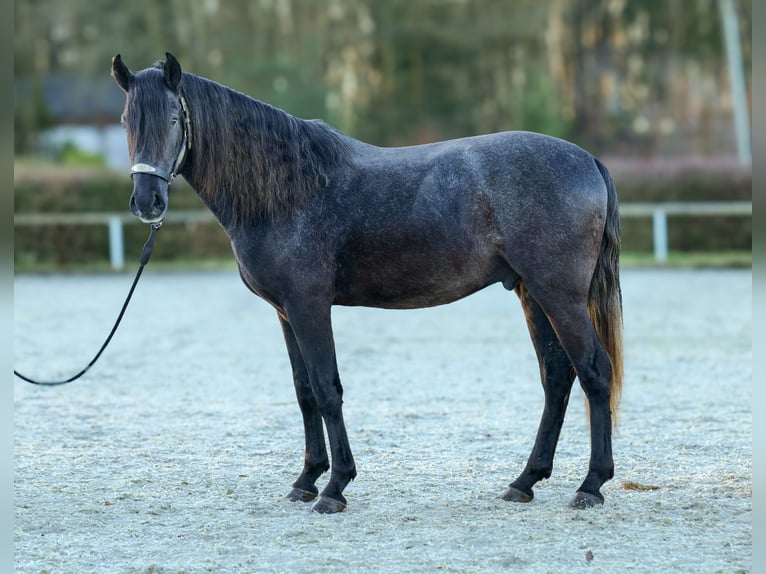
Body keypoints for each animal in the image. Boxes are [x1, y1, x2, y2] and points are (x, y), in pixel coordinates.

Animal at [112, 51, 624, 516]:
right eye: (125, 120)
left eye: (174, 117)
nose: (146, 201)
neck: (287, 189)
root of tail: (588, 160)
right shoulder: (284, 312)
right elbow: (304, 392)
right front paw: (306, 480)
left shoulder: (309, 305)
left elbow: (326, 388)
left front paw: (334, 487)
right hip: (532, 294)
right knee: (556, 377)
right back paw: (525, 481)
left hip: (559, 296)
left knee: (594, 372)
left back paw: (591, 485)